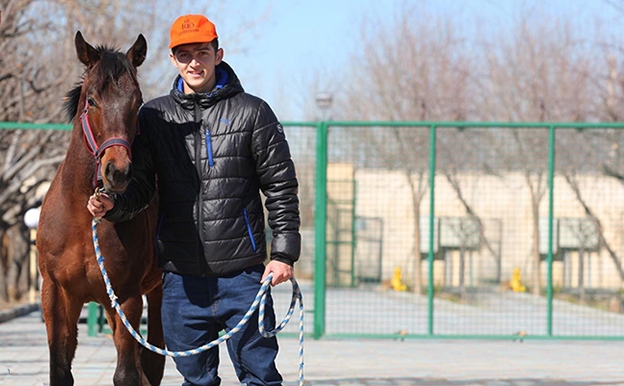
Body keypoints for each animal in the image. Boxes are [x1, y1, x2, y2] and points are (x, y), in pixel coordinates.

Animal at [36, 31, 163, 384]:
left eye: (138, 101)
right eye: (91, 101)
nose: (117, 171)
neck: (82, 218)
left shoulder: (128, 296)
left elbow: (126, 374)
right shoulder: (56, 295)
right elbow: (60, 370)